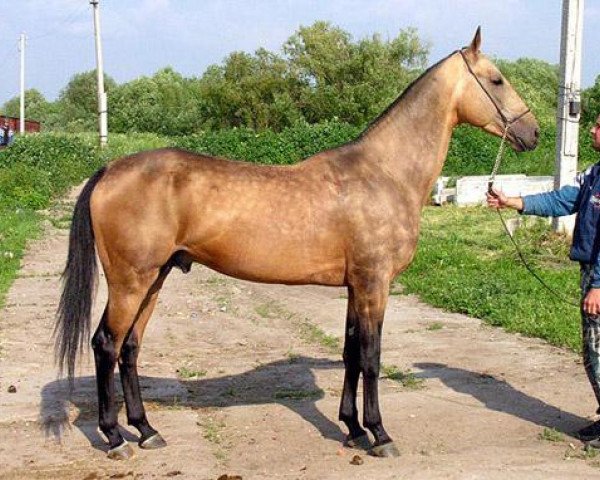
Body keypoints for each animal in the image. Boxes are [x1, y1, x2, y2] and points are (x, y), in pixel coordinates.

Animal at [55, 27, 540, 462]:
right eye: (497, 79)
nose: (533, 133)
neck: (383, 172)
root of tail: (109, 169)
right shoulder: (375, 284)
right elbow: (371, 357)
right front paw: (380, 434)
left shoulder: (356, 286)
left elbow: (349, 353)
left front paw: (352, 430)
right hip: (130, 282)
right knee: (106, 344)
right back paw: (114, 437)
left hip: (154, 279)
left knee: (130, 348)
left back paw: (146, 430)